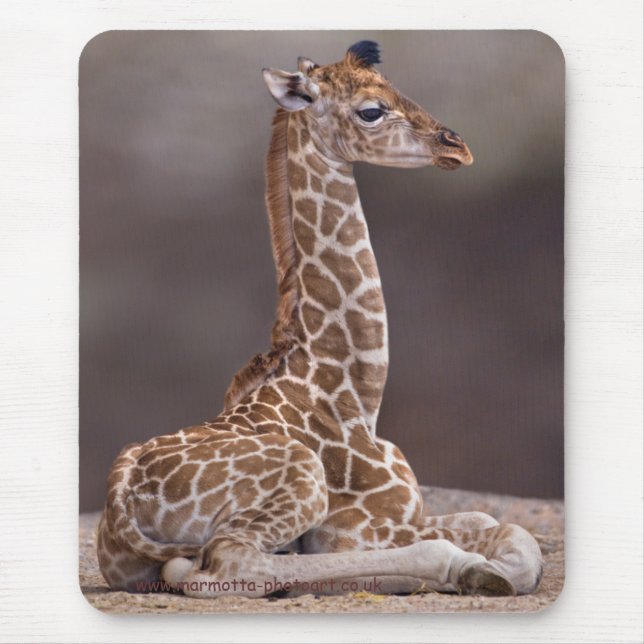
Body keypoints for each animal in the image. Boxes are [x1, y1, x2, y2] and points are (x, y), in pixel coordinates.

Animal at [96, 41, 543, 599]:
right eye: (372, 110)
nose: (457, 147)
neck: (356, 396)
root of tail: (119, 497)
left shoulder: (410, 514)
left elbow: (505, 529)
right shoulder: (359, 529)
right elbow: (498, 534)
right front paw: (478, 570)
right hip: (302, 479)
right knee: (228, 563)